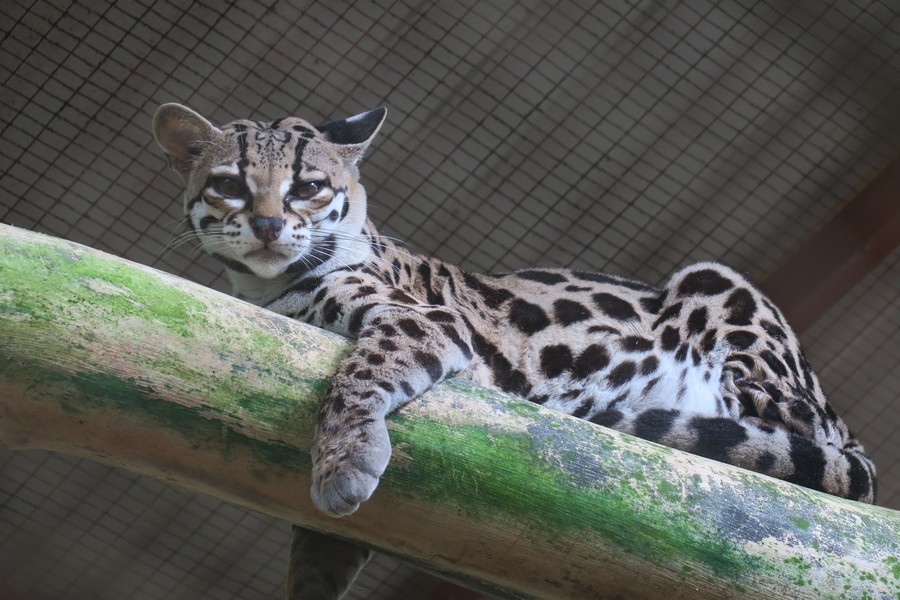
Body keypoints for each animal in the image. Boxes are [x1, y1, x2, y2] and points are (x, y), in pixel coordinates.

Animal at [152, 103, 876, 600]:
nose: (269, 224)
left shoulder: (430, 322)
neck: (269, 288)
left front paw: (343, 464)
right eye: (229, 185)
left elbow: (357, 374)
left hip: (723, 293)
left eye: (307, 187)